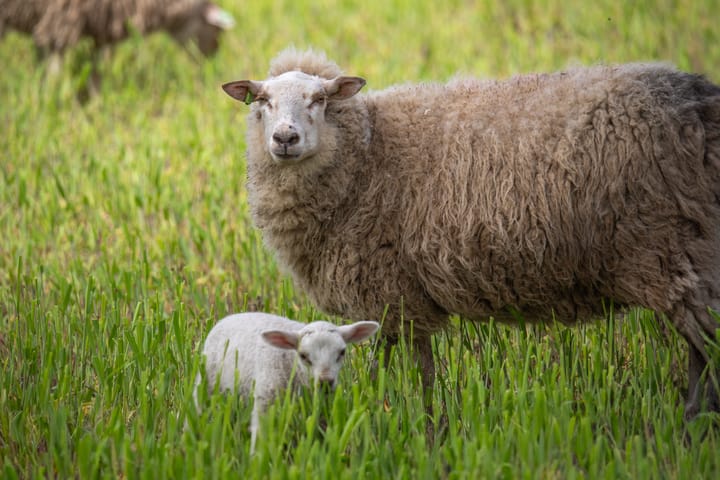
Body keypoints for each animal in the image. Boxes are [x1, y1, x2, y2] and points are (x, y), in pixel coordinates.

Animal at [191, 312, 382, 454]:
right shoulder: (266, 399)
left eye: (342, 352)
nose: (326, 382)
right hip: (207, 380)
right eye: (303, 356)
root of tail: (230, 317)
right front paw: (256, 458)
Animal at [221, 47, 720, 418]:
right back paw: (691, 420)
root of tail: (702, 105)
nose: (285, 139)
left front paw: (400, 421)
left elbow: (400, 371)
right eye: (261, 102)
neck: (366, 154)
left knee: (706, 349)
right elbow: (418, 368)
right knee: (700, 356)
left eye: (319, 100)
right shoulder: (405, 297)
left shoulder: (389, 292)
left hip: (678, 253)